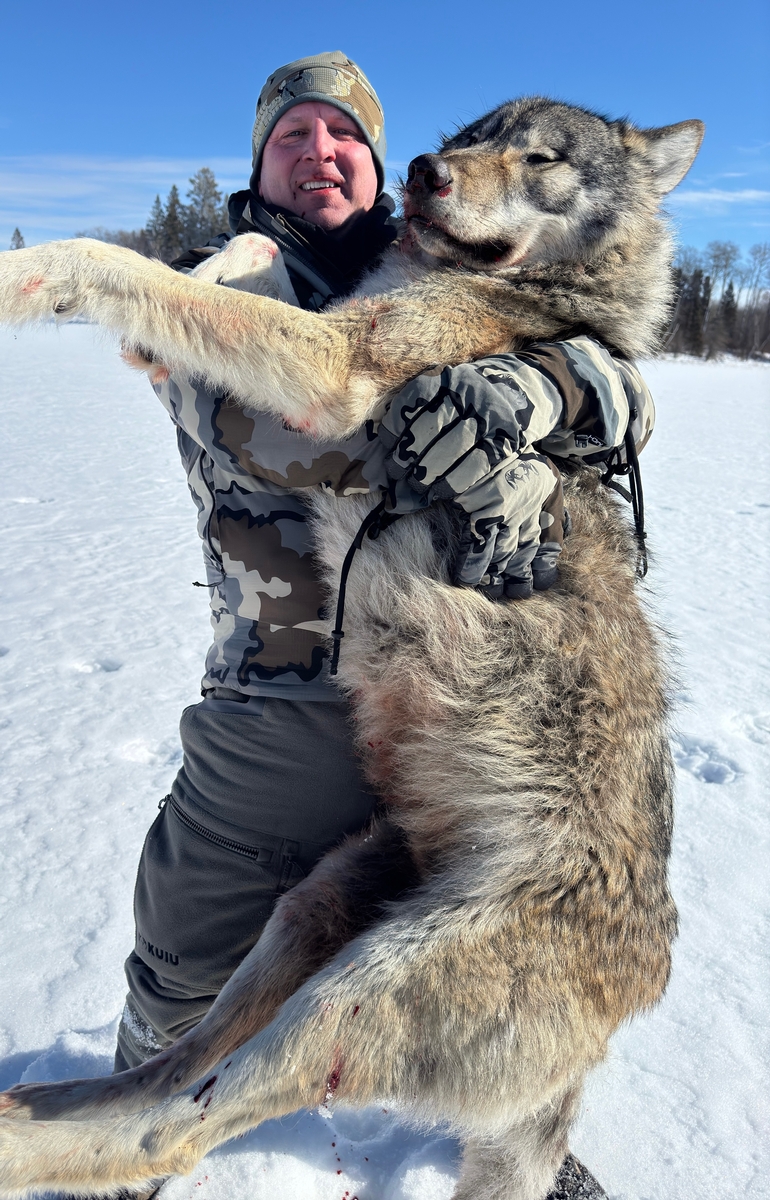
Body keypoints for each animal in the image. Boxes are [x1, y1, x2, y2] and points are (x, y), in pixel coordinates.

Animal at [0, 97, 702, 1199]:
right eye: (467, 132)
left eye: (541, 157)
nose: (420, 170)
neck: (529, 300)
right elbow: (222, 266)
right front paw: (234, 247)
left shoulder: (338, 371)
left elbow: (115, 264)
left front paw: (22, 274)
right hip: (311, 915)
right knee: (169, 1068)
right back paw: (36, 1105)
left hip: (352, 999)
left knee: (170, 1130)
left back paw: (16, 1143)